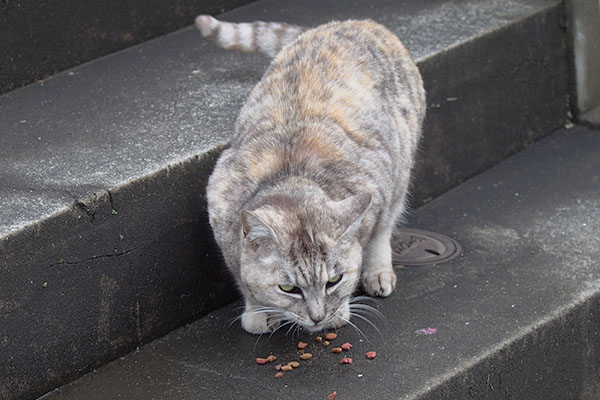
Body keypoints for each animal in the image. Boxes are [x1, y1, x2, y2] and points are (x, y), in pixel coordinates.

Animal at [195, 14, 424, 334]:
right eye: (288, 289)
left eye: (334, 281)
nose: (318, 317)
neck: (292, 175)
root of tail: (355, 22)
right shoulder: (219, 198)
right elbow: (242, 276)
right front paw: (257, 311)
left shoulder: (376, 186)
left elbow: (375, 234)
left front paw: (341, 308)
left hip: (401, 162)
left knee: (387, 223)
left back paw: (378, 271)